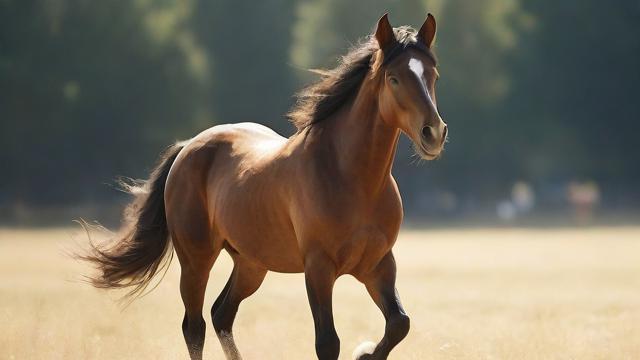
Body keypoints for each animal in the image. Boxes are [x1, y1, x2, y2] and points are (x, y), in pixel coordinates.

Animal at [82, 12, 448, 358]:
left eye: (433, 75)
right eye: (394, 78)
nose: (434, 133)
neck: (352, 178)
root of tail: (188, 147)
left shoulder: (379, 264)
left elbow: (399, 323)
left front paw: (366, 353)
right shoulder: (318, 268)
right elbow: (328, 343)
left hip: (250, 263)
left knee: (221, 314)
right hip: (196, 259)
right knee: (194, 326)